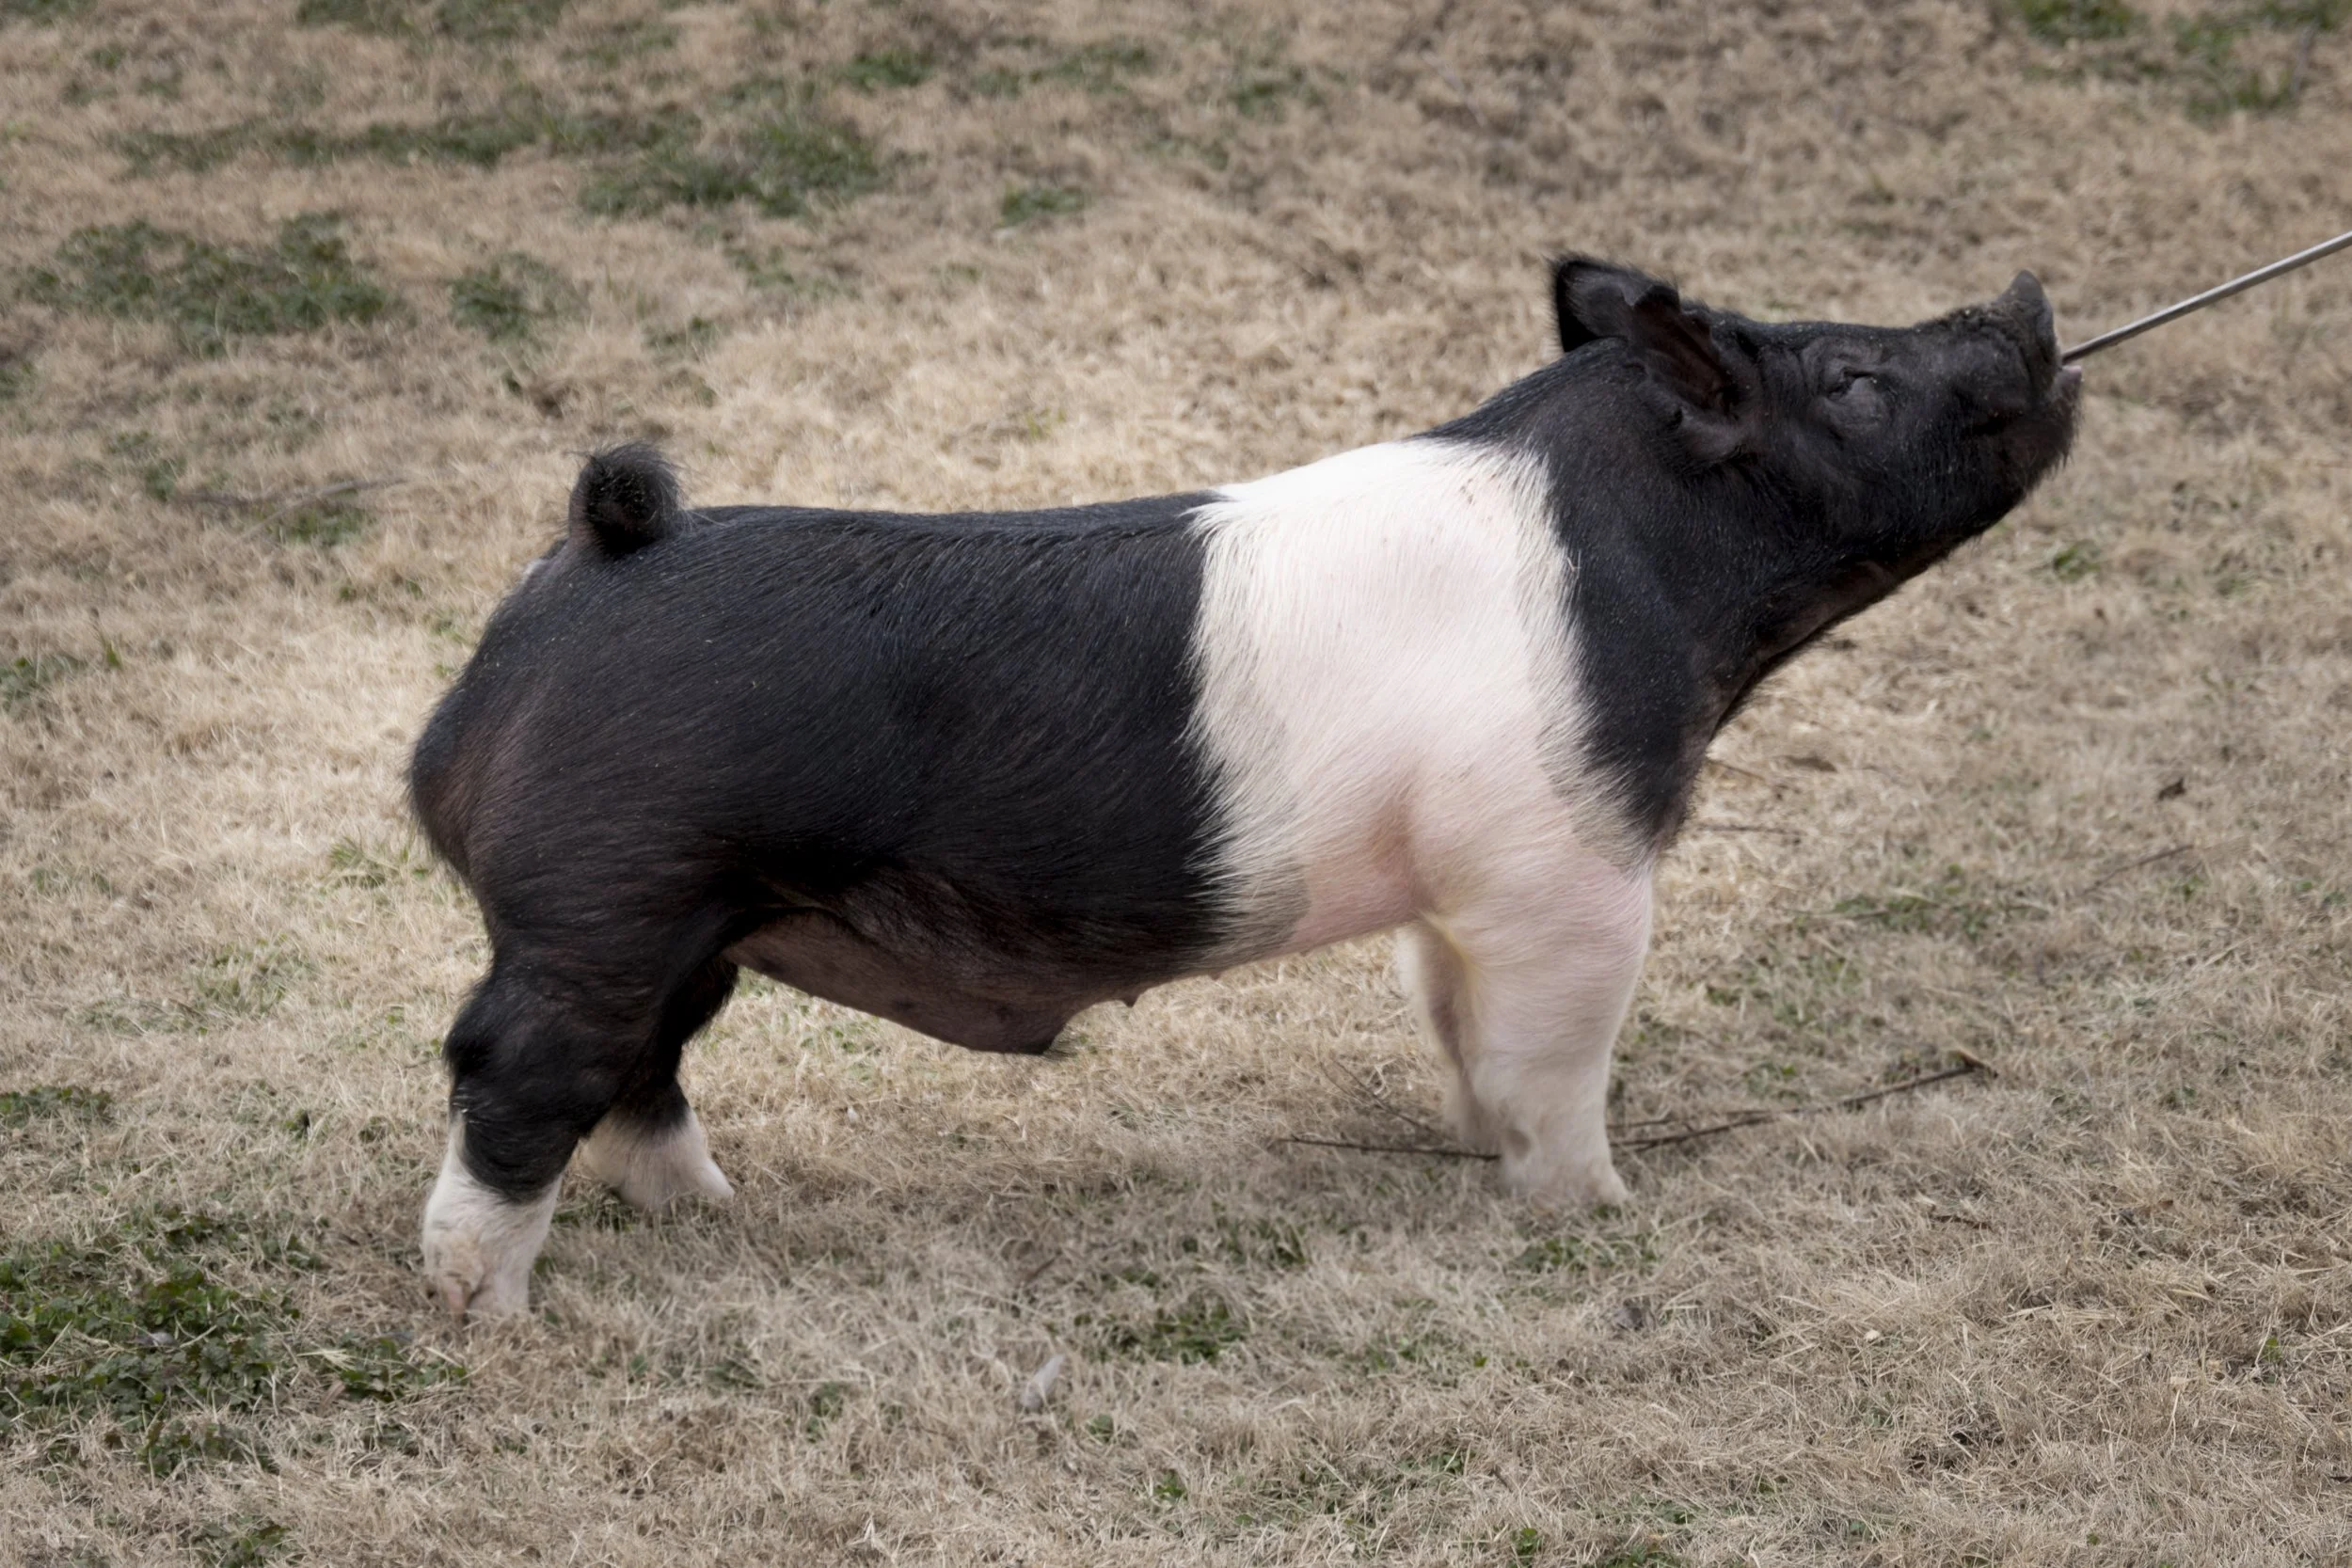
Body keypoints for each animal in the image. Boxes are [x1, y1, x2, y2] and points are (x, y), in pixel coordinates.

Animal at [407, 259, 2079, 1318]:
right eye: (1853, 376)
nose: (2025, 299)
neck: (1654, 565)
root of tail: (591, 557)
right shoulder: (1570, 860)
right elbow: (1561, 1052)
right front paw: (1594, 1212)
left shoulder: (1458, 886)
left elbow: (1460, 1022)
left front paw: (1484, 1147)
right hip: (612, 891)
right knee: (517, 1065)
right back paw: (488, 1316)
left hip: (692, 914)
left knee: (642, 1070)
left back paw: (717, 1212)